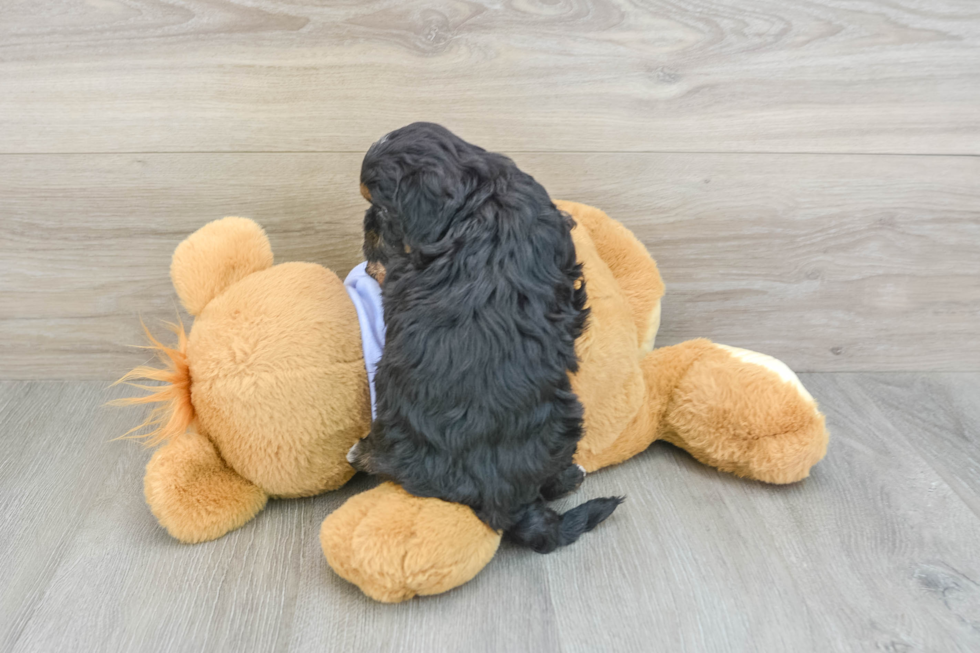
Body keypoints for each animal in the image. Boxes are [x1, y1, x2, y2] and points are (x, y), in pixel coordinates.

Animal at [346, 121, 620, 552]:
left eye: (384, 209)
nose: (368, 219)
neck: (477, 195)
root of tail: (503, 498)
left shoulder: (401, 267)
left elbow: (385, 267)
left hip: (393, 425)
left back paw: (360, 453)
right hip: (566, 418)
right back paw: (570, 475)